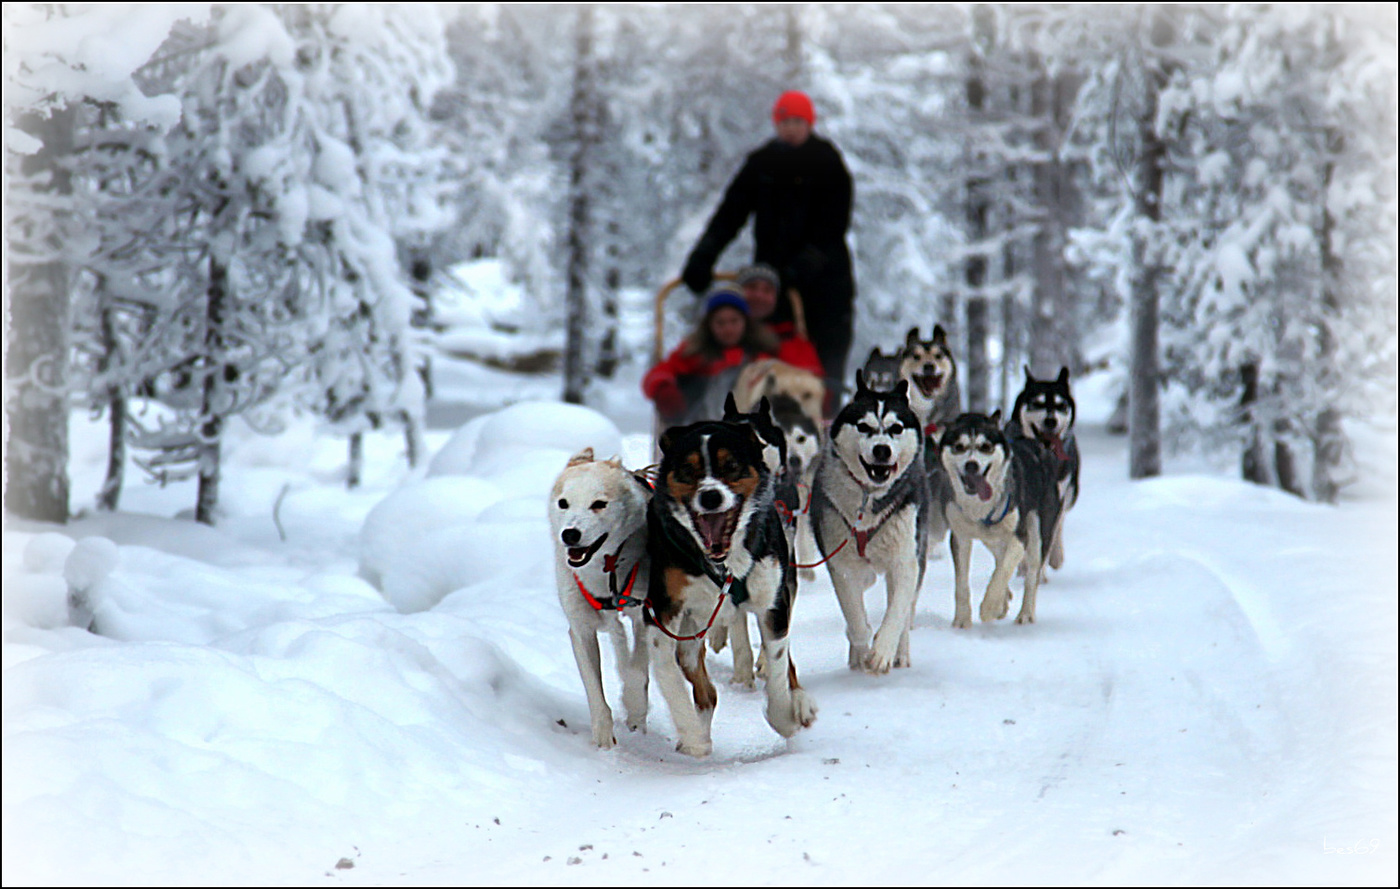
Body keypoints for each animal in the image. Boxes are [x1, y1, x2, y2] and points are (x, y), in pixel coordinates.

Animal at [548, 448, 652, 750]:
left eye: (599, 504)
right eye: (563, 503)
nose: (570, 534)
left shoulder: (645, 615)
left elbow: (636, 670)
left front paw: (634, 706)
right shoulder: (581, 628)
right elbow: (593, 686)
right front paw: (603, 736)